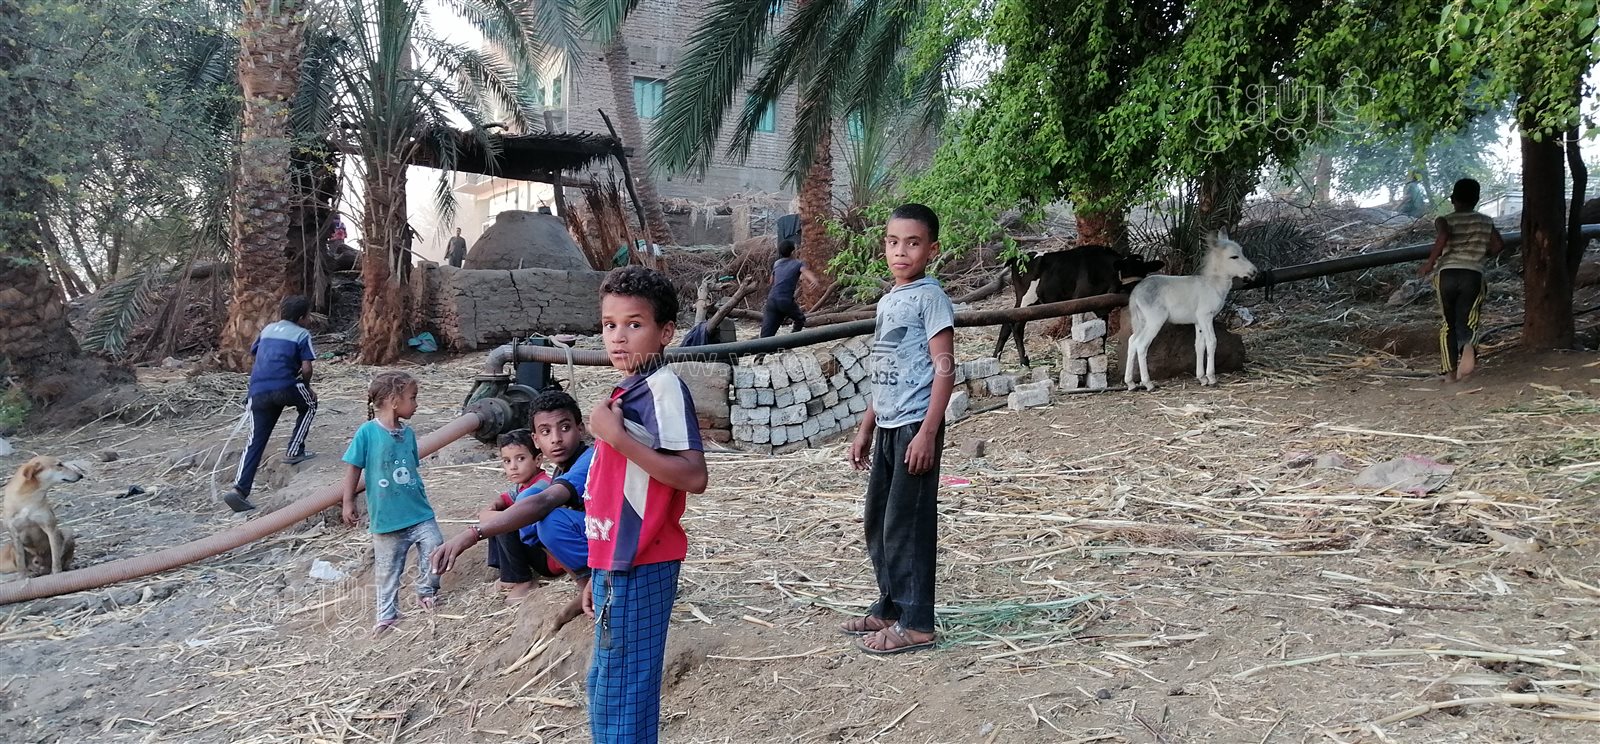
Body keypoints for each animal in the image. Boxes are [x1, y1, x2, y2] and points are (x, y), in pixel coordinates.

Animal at [995, 245, 1164, 367]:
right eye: (1125, 270)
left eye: (1144, 270)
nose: (1136, 289)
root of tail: (1017, 257)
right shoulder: (1080, 300)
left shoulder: (1102, 307)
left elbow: (1103, 335)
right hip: (1027, 299)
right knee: (1017, 325)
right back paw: (1024, 362)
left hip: (1024, 300)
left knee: (1006, 323)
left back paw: (995, 357)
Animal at [1123, 231, 1258, 391]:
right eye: (1234, 257)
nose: (1254, 272)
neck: (1213, 284)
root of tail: (1136, 292)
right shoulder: (1206, 316)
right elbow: (1212, 341)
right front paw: (1212, 378)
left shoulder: (1199, 321)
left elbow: (1199, 345)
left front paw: (1202, 378)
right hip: (1154, 321)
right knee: (1141, 344)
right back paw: (1148, 383)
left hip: (1141, 321)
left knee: (1132, 341)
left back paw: (1130, 383)